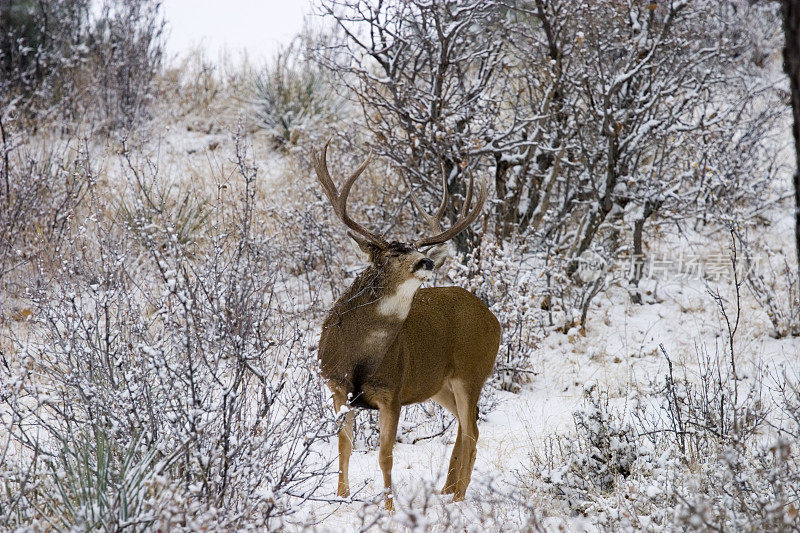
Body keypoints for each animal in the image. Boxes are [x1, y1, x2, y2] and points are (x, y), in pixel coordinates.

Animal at [312, 140, 500, 512]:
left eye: (414, 249)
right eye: (392, 254)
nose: (426, 261)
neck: (358, 356)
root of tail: (494, 319)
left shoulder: (393, 392)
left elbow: (385, 455)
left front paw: (389, 507)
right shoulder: (336, 386)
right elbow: (344, 446)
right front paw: (340, 497)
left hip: (472, 371)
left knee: (473, 430)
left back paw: (459, 496)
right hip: (441, 384)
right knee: (463, 425)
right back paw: (446, 489)